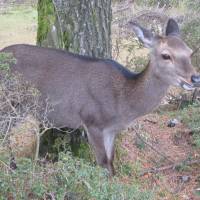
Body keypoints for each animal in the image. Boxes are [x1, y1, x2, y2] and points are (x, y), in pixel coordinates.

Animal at [0, 18, 200, 175]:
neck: (123, 103)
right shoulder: (92, 120)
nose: (195, 78)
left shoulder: (111, 129)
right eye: (166, 55)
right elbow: (103, 163)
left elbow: (111, 162)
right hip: (8, 104)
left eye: (190, 52)